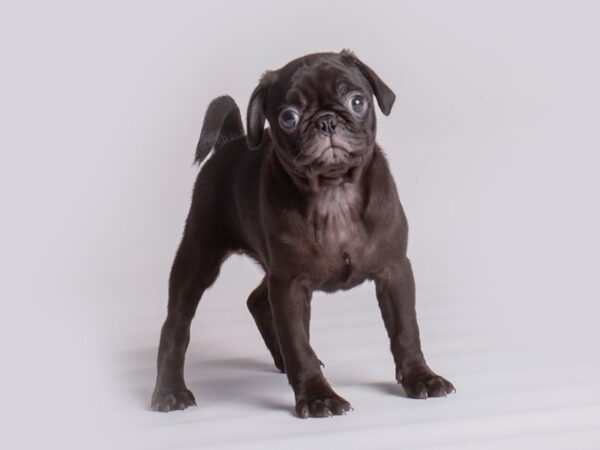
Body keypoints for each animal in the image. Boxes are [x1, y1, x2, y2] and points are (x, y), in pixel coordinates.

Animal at [151, 50, 454, 418]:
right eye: (289, 117)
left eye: (357, 101)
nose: (326, 121)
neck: (334, 190)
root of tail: (230, 141)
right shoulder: (290, 285)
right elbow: (298, 343)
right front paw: (317, 396)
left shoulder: (393, 270)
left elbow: (406, 330)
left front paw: (421, 377)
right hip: (200, 254)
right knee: (177, 325)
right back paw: (170, 391)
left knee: (258, 301)